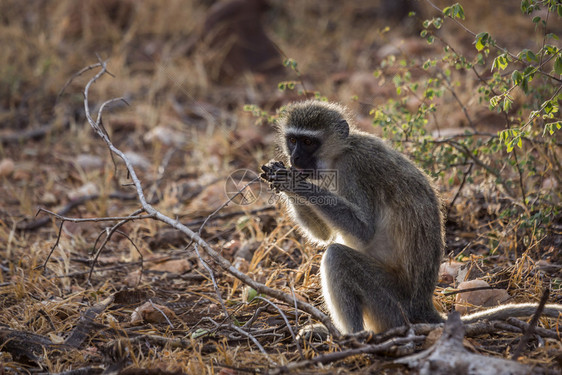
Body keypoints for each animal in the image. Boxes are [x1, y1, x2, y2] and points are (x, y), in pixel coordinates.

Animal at [262, 101, 560, 336]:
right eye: (293, 140)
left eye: (309, 142)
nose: (295, 157)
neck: (342, 151)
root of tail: (422, 306)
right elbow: (324, 235)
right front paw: (282, 176)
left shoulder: (353, 168)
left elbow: (362, 231)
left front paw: (290, 181)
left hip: (392, 305)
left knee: (337, 257)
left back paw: (352, 338)